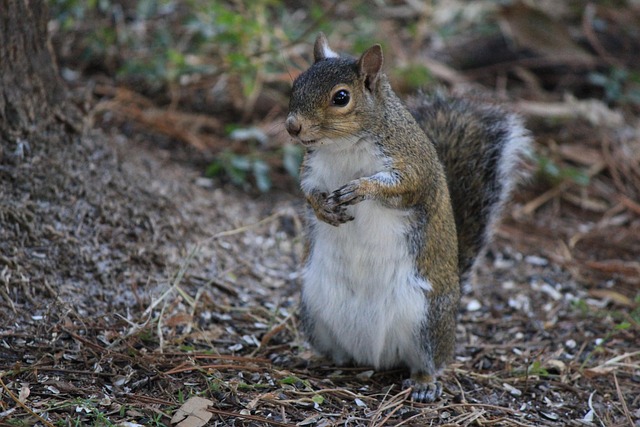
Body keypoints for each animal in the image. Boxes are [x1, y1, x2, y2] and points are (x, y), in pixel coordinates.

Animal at [285, 33, 531, 402]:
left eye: (341, 97)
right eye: (296, 83)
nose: (292, 126)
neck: (343, 146)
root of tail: (372, 358)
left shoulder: (412, 165)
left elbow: (403, 187)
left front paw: (362, 187)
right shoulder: (313, 169)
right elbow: (307, 191)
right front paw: (323, 208)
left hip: (425, 321)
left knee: (429, 361)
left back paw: (425, 383)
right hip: (314, 310)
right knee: (335, 352)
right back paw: (316, 359)